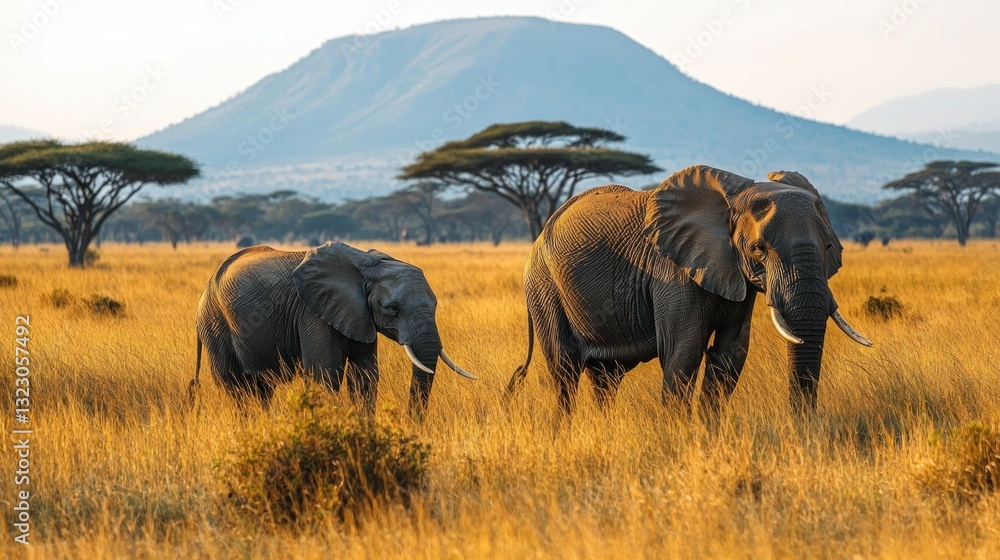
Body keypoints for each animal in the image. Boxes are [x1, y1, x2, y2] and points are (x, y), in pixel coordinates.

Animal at [189, 241, 476, 416]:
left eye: (436, 305)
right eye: (392, 308)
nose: (412, 423)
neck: (367, 263)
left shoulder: (359, 315)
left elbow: (365, 375)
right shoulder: (313, 313)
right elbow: (325, 374)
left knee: (260, 388)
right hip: (215, 323)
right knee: (235, 385)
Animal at [505, 165, 871, 413]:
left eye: (828, 247)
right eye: (759, 249)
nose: (801, 425)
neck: (735, 197)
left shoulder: (734, 273)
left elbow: (729, 356)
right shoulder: (672, 273)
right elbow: (684, 352)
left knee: (606, 377)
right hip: (544, 288)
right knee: (564, 371)